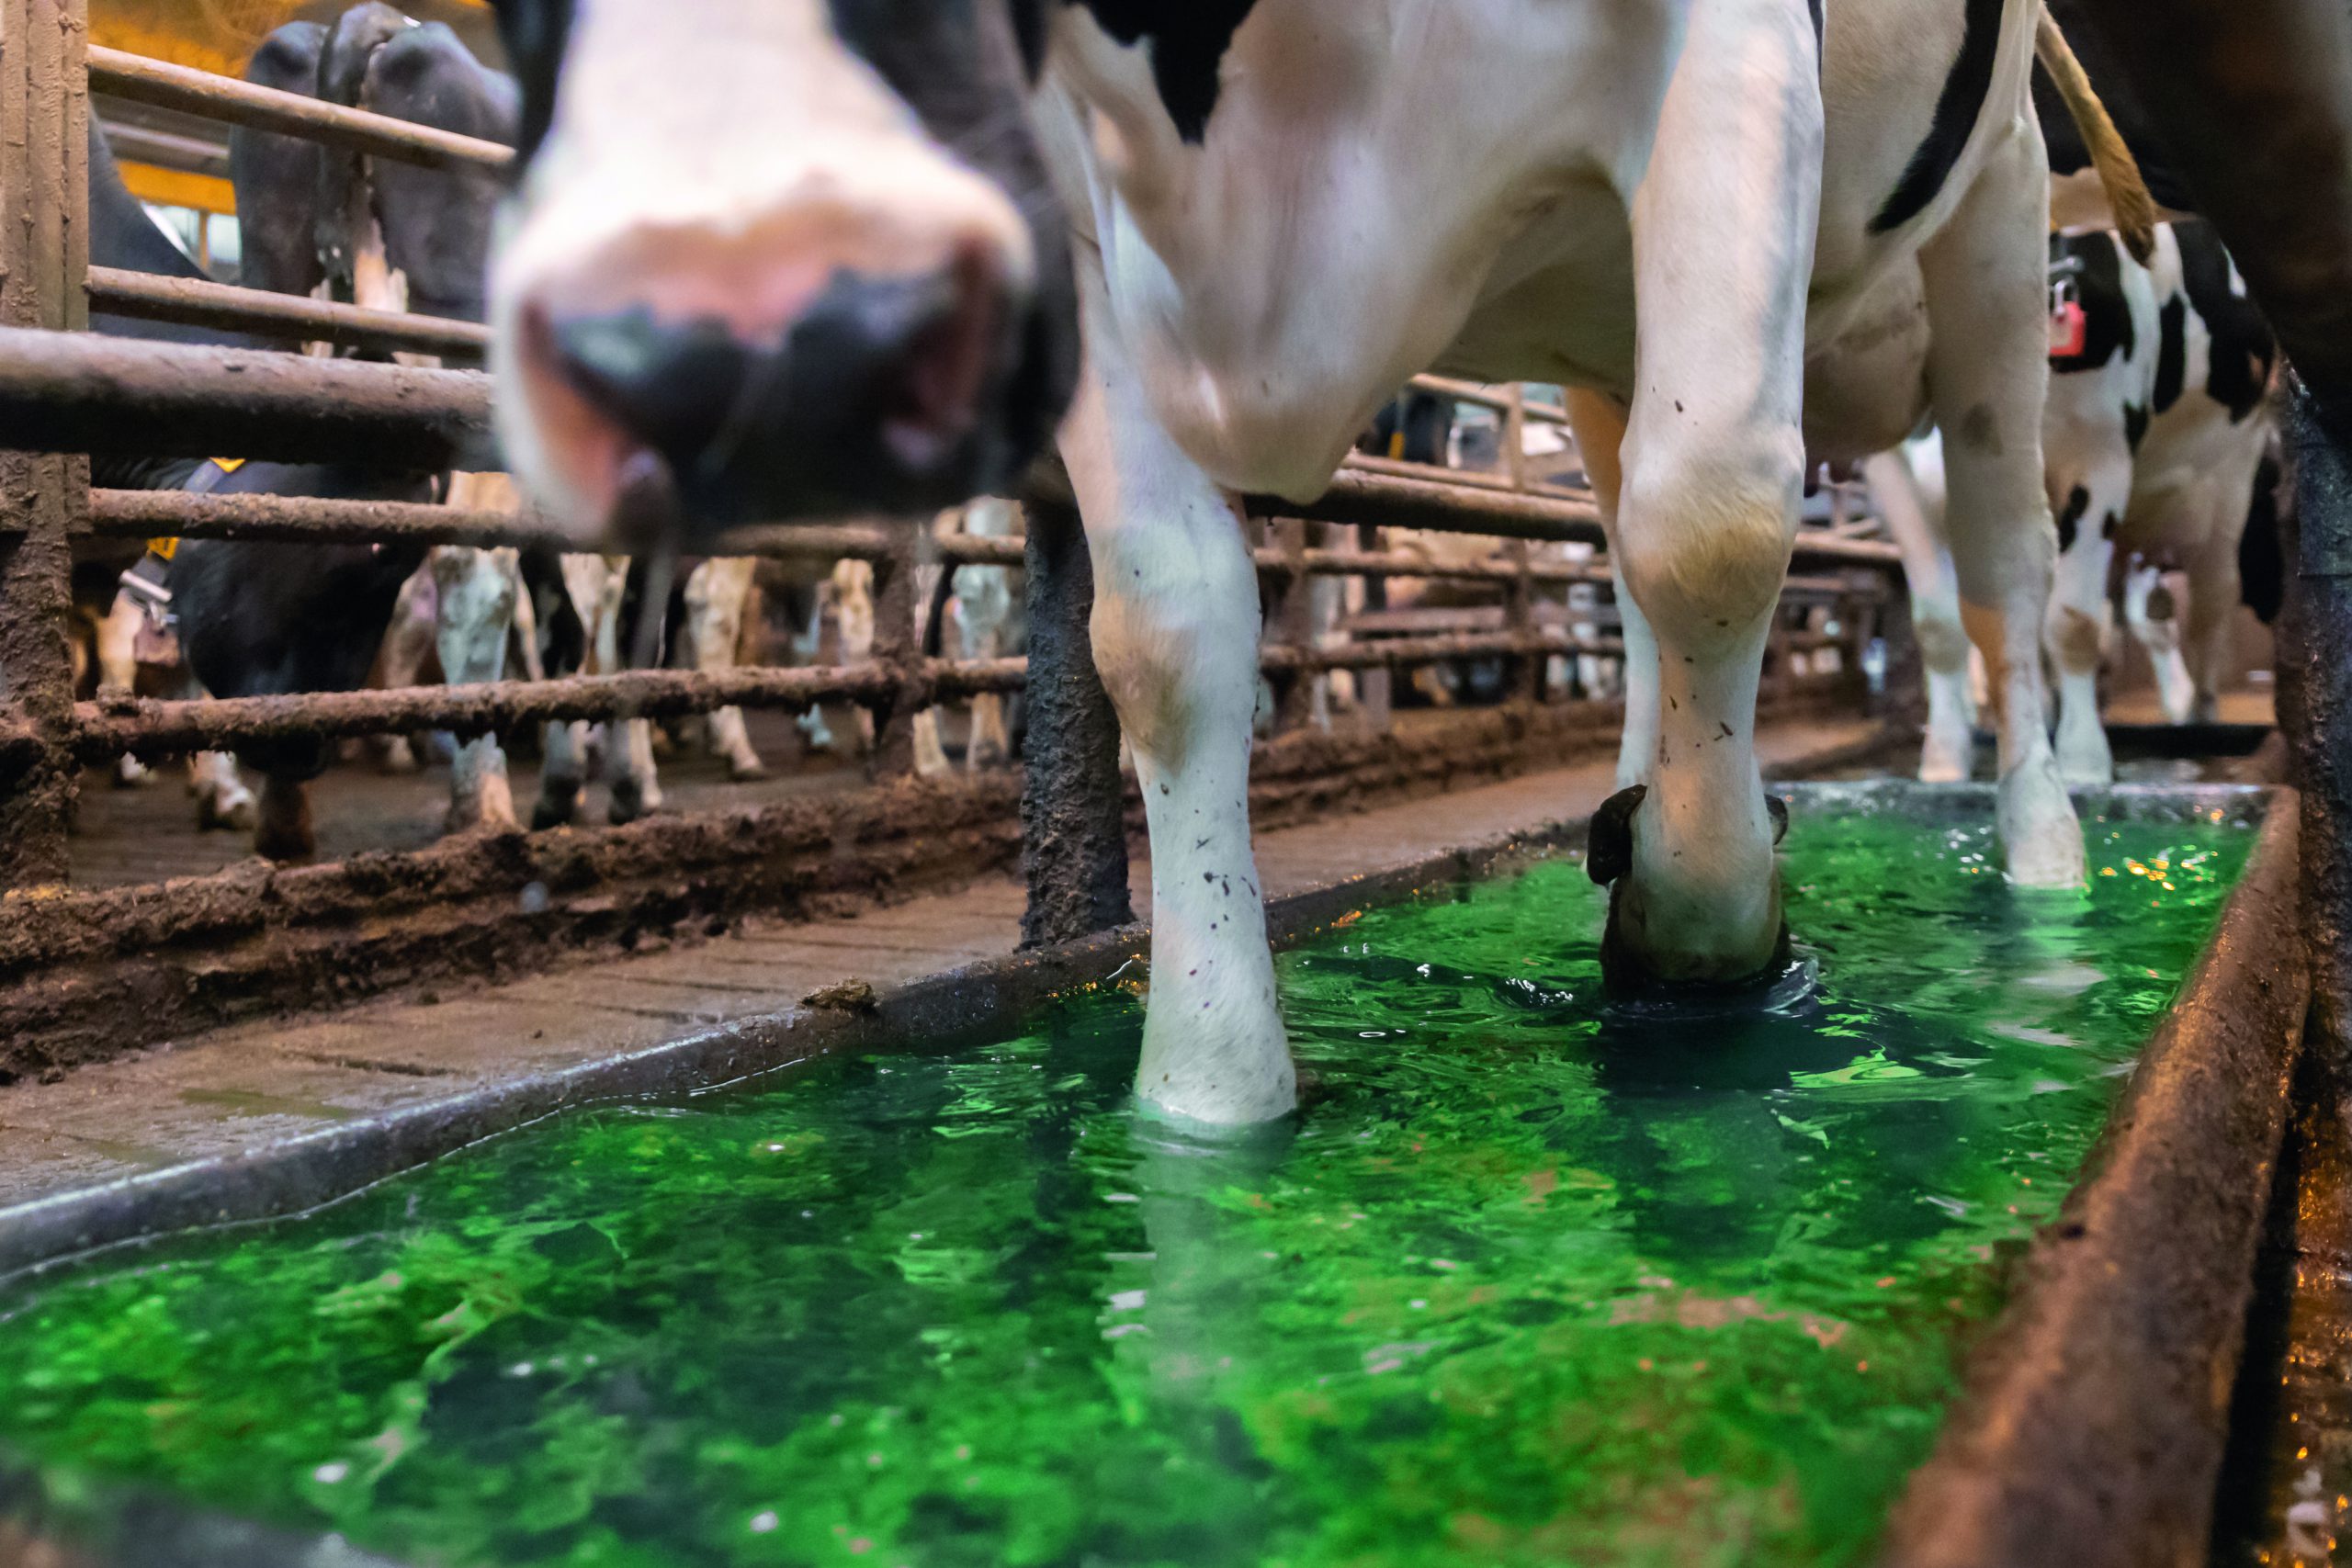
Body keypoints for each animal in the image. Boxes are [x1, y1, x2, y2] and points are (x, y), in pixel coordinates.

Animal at [485, 1, 2152, 1126]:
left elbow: (1720, 516)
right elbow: (1164, 635)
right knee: (1633, 570)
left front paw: (1709, 932)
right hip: (1607, 348)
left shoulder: (1733, 50)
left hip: (2000, 238)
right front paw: (1209, 1091)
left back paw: (2044, 858)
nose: (743, 333)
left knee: (1999, 578)